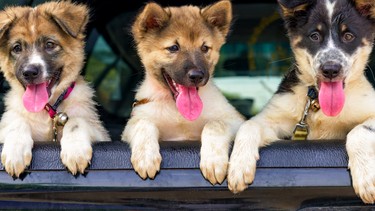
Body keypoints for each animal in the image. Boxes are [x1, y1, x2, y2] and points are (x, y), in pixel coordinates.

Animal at [0, 1, 111, 176]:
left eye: (49, 45)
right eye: (17, 48)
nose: (29, 72)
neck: (48, 111)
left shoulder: (101, 133)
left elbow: (77, 121)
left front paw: (75, 150)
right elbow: (17, 121)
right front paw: (15, 151)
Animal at [122, 0, 245, 185]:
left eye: (204, 48)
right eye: (174, 47)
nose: (197, 76)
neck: (178, 112)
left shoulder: (235, 119)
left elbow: (214, 124)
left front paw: (213, 160)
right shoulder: (132, 123)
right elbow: (143, 123)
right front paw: (146, 156)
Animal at [228, 0, 375, 204]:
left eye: (348, 36)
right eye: (314, 36)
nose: (330, 69)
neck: (319, 105)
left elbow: (359, 131)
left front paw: (365, 177)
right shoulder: (275, 119)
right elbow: (248, 125)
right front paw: (239, 166)